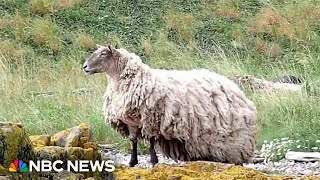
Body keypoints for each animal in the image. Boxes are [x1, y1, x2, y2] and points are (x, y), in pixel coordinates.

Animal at [81, 44, 258, 167]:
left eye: (103, 53)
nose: (85, 67)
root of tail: (237, 90)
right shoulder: (131, 121)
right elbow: (133, 142)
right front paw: (132, 162)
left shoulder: (150, 119)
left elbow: (150, 142)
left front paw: (153, 161)